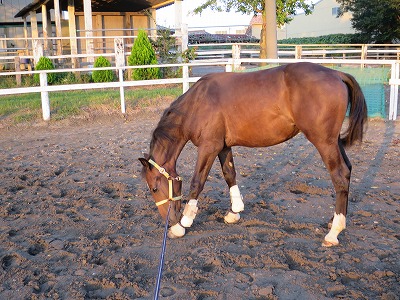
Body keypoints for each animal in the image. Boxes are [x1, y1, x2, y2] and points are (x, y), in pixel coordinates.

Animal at [139, 61, 368, 246]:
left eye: (154, 188)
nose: (169, 221)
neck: (197, 104)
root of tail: (336, 74)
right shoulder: (223, 146)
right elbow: (229, 174)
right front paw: (234, 211)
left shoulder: (208, 147)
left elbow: (197, 181)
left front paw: (184, 223)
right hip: (333, 141)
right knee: (348, 170)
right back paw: (335, 220)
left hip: (324, 141)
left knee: (339, 175)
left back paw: (334, 232)